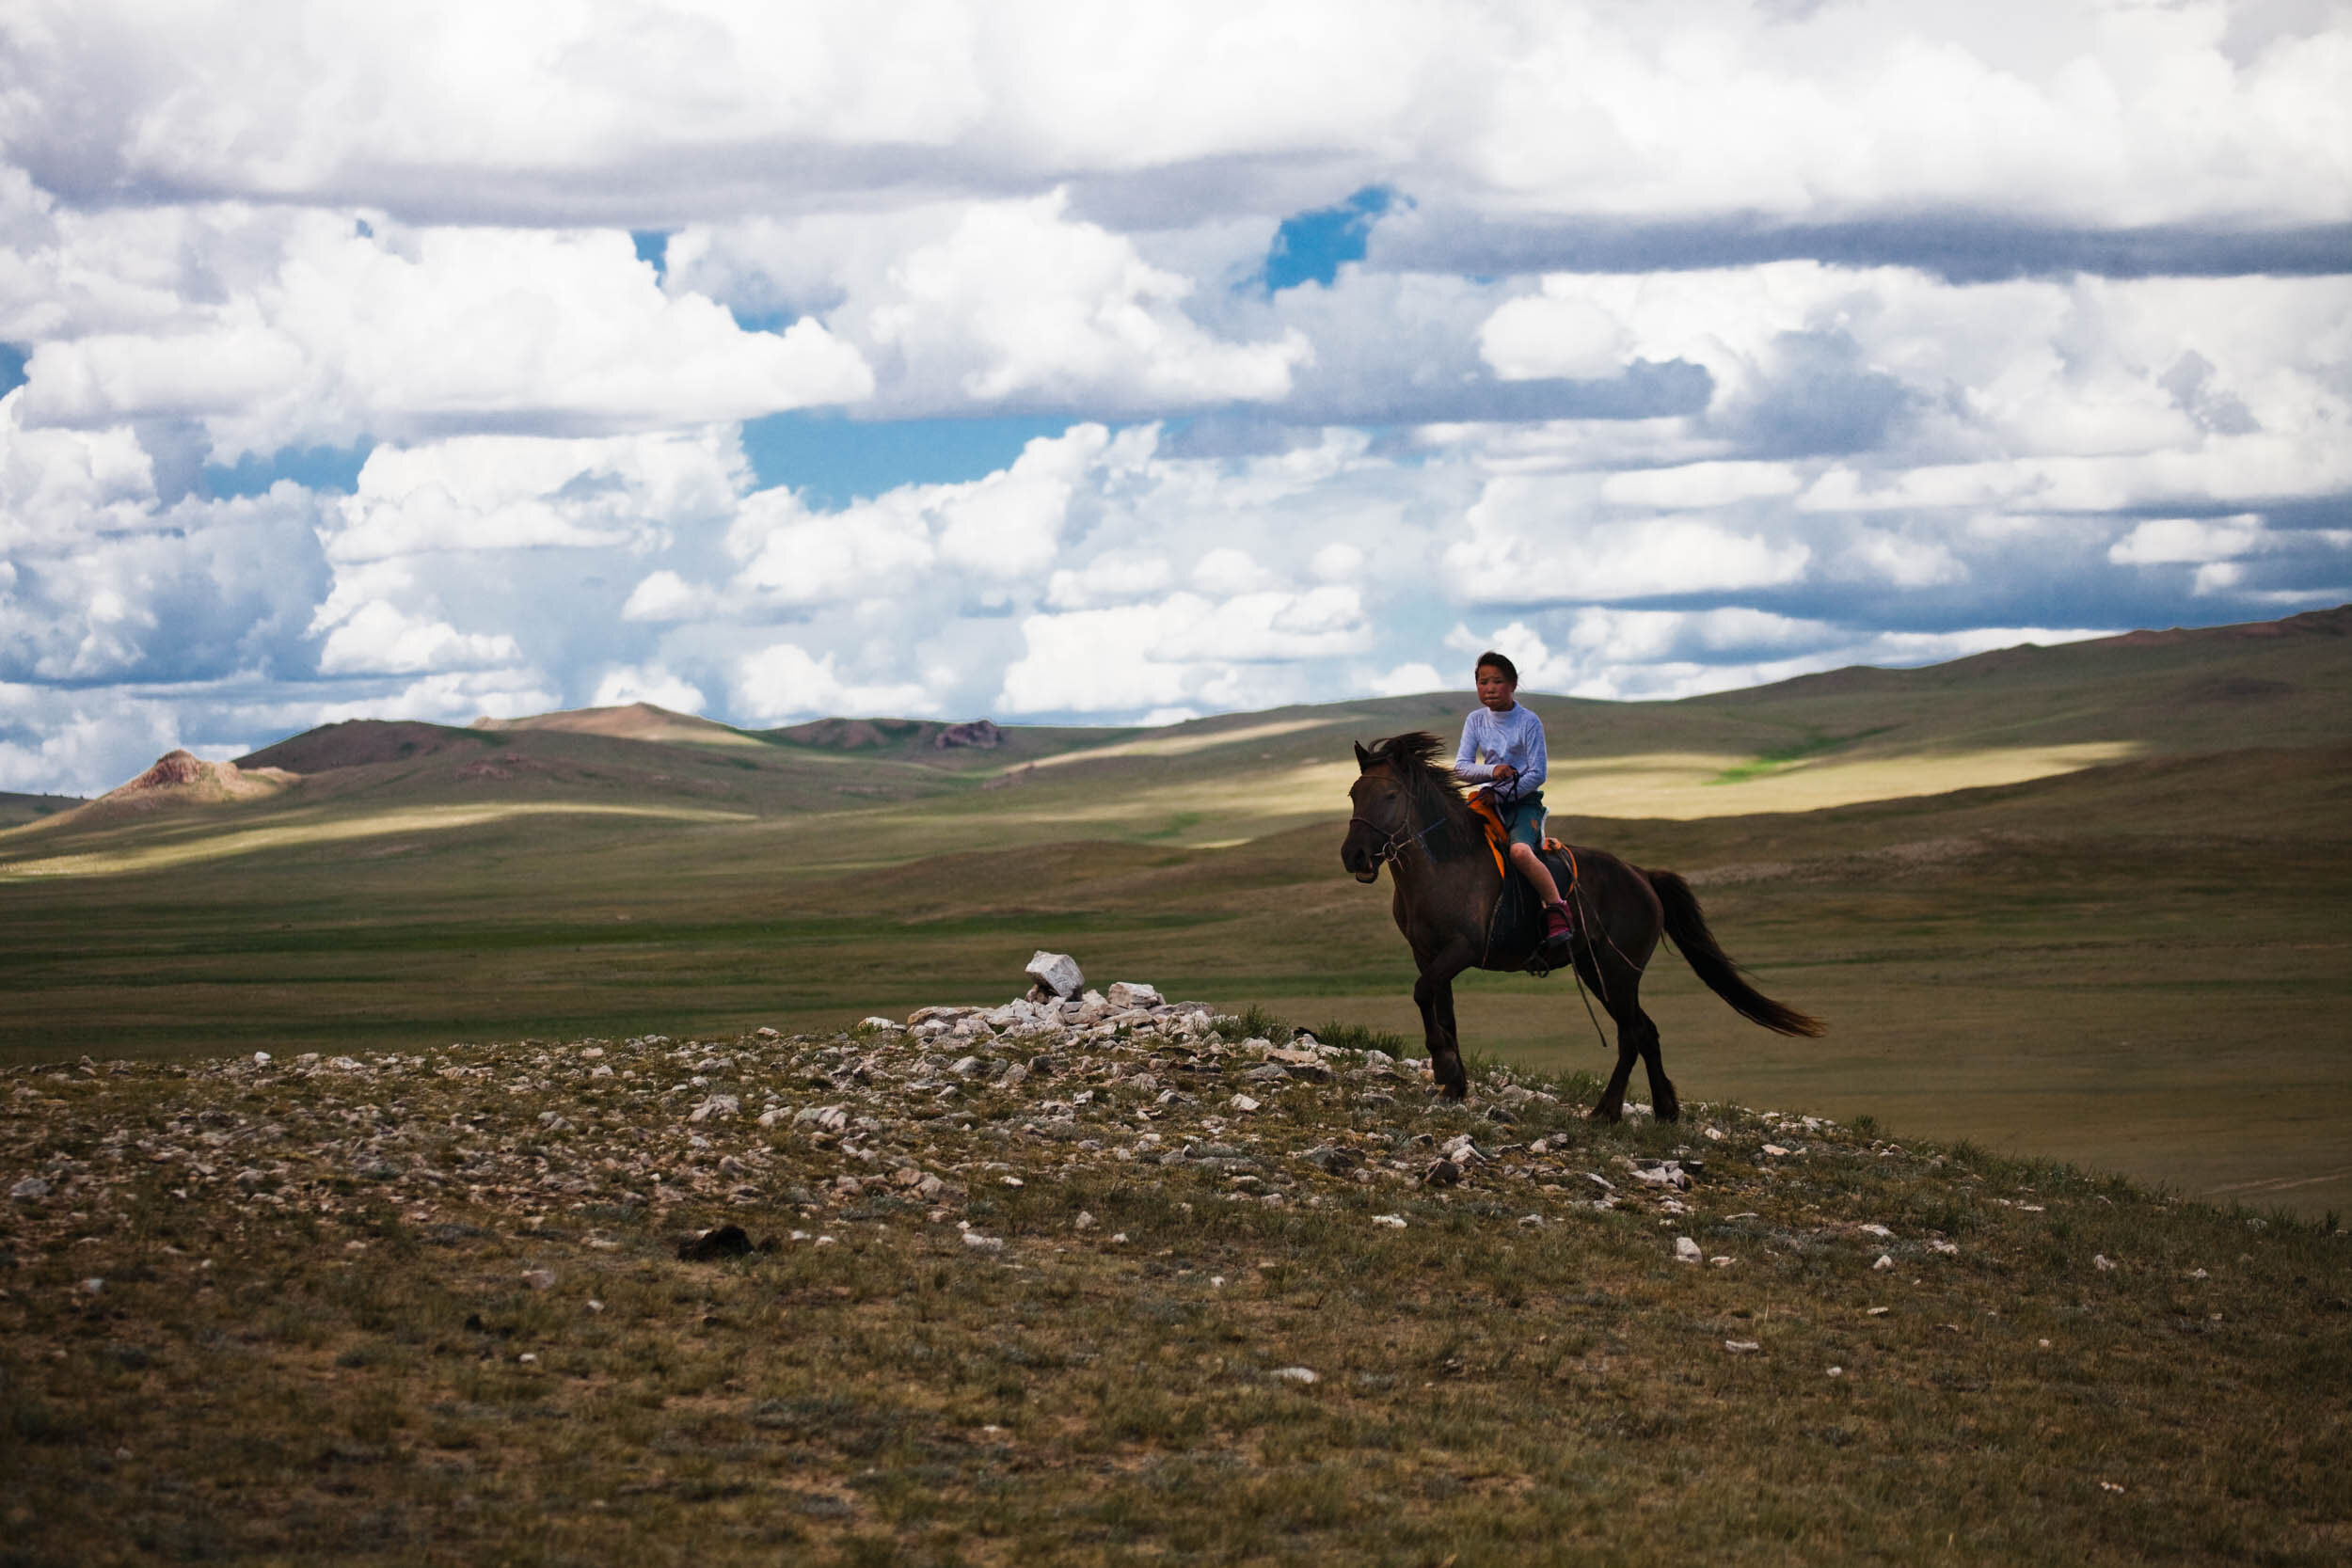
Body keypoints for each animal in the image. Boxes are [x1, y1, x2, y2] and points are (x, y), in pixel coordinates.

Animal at [1345, 733, 1816, 1114]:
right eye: (1352, 794)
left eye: (1390, 797)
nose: (1354, 856)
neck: (1446, 864)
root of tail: (1642, 877)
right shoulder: (1427, 953)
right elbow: (1442, 1009)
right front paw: (1453, 1084)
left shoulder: (1462, 949)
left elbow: (1423, 993)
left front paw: (1445, 1071)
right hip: (1598, 970)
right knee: (1645, 1032)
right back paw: (1663, 1111)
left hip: (1616, 972)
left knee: (1632, 1034)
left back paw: (1606, 1112)